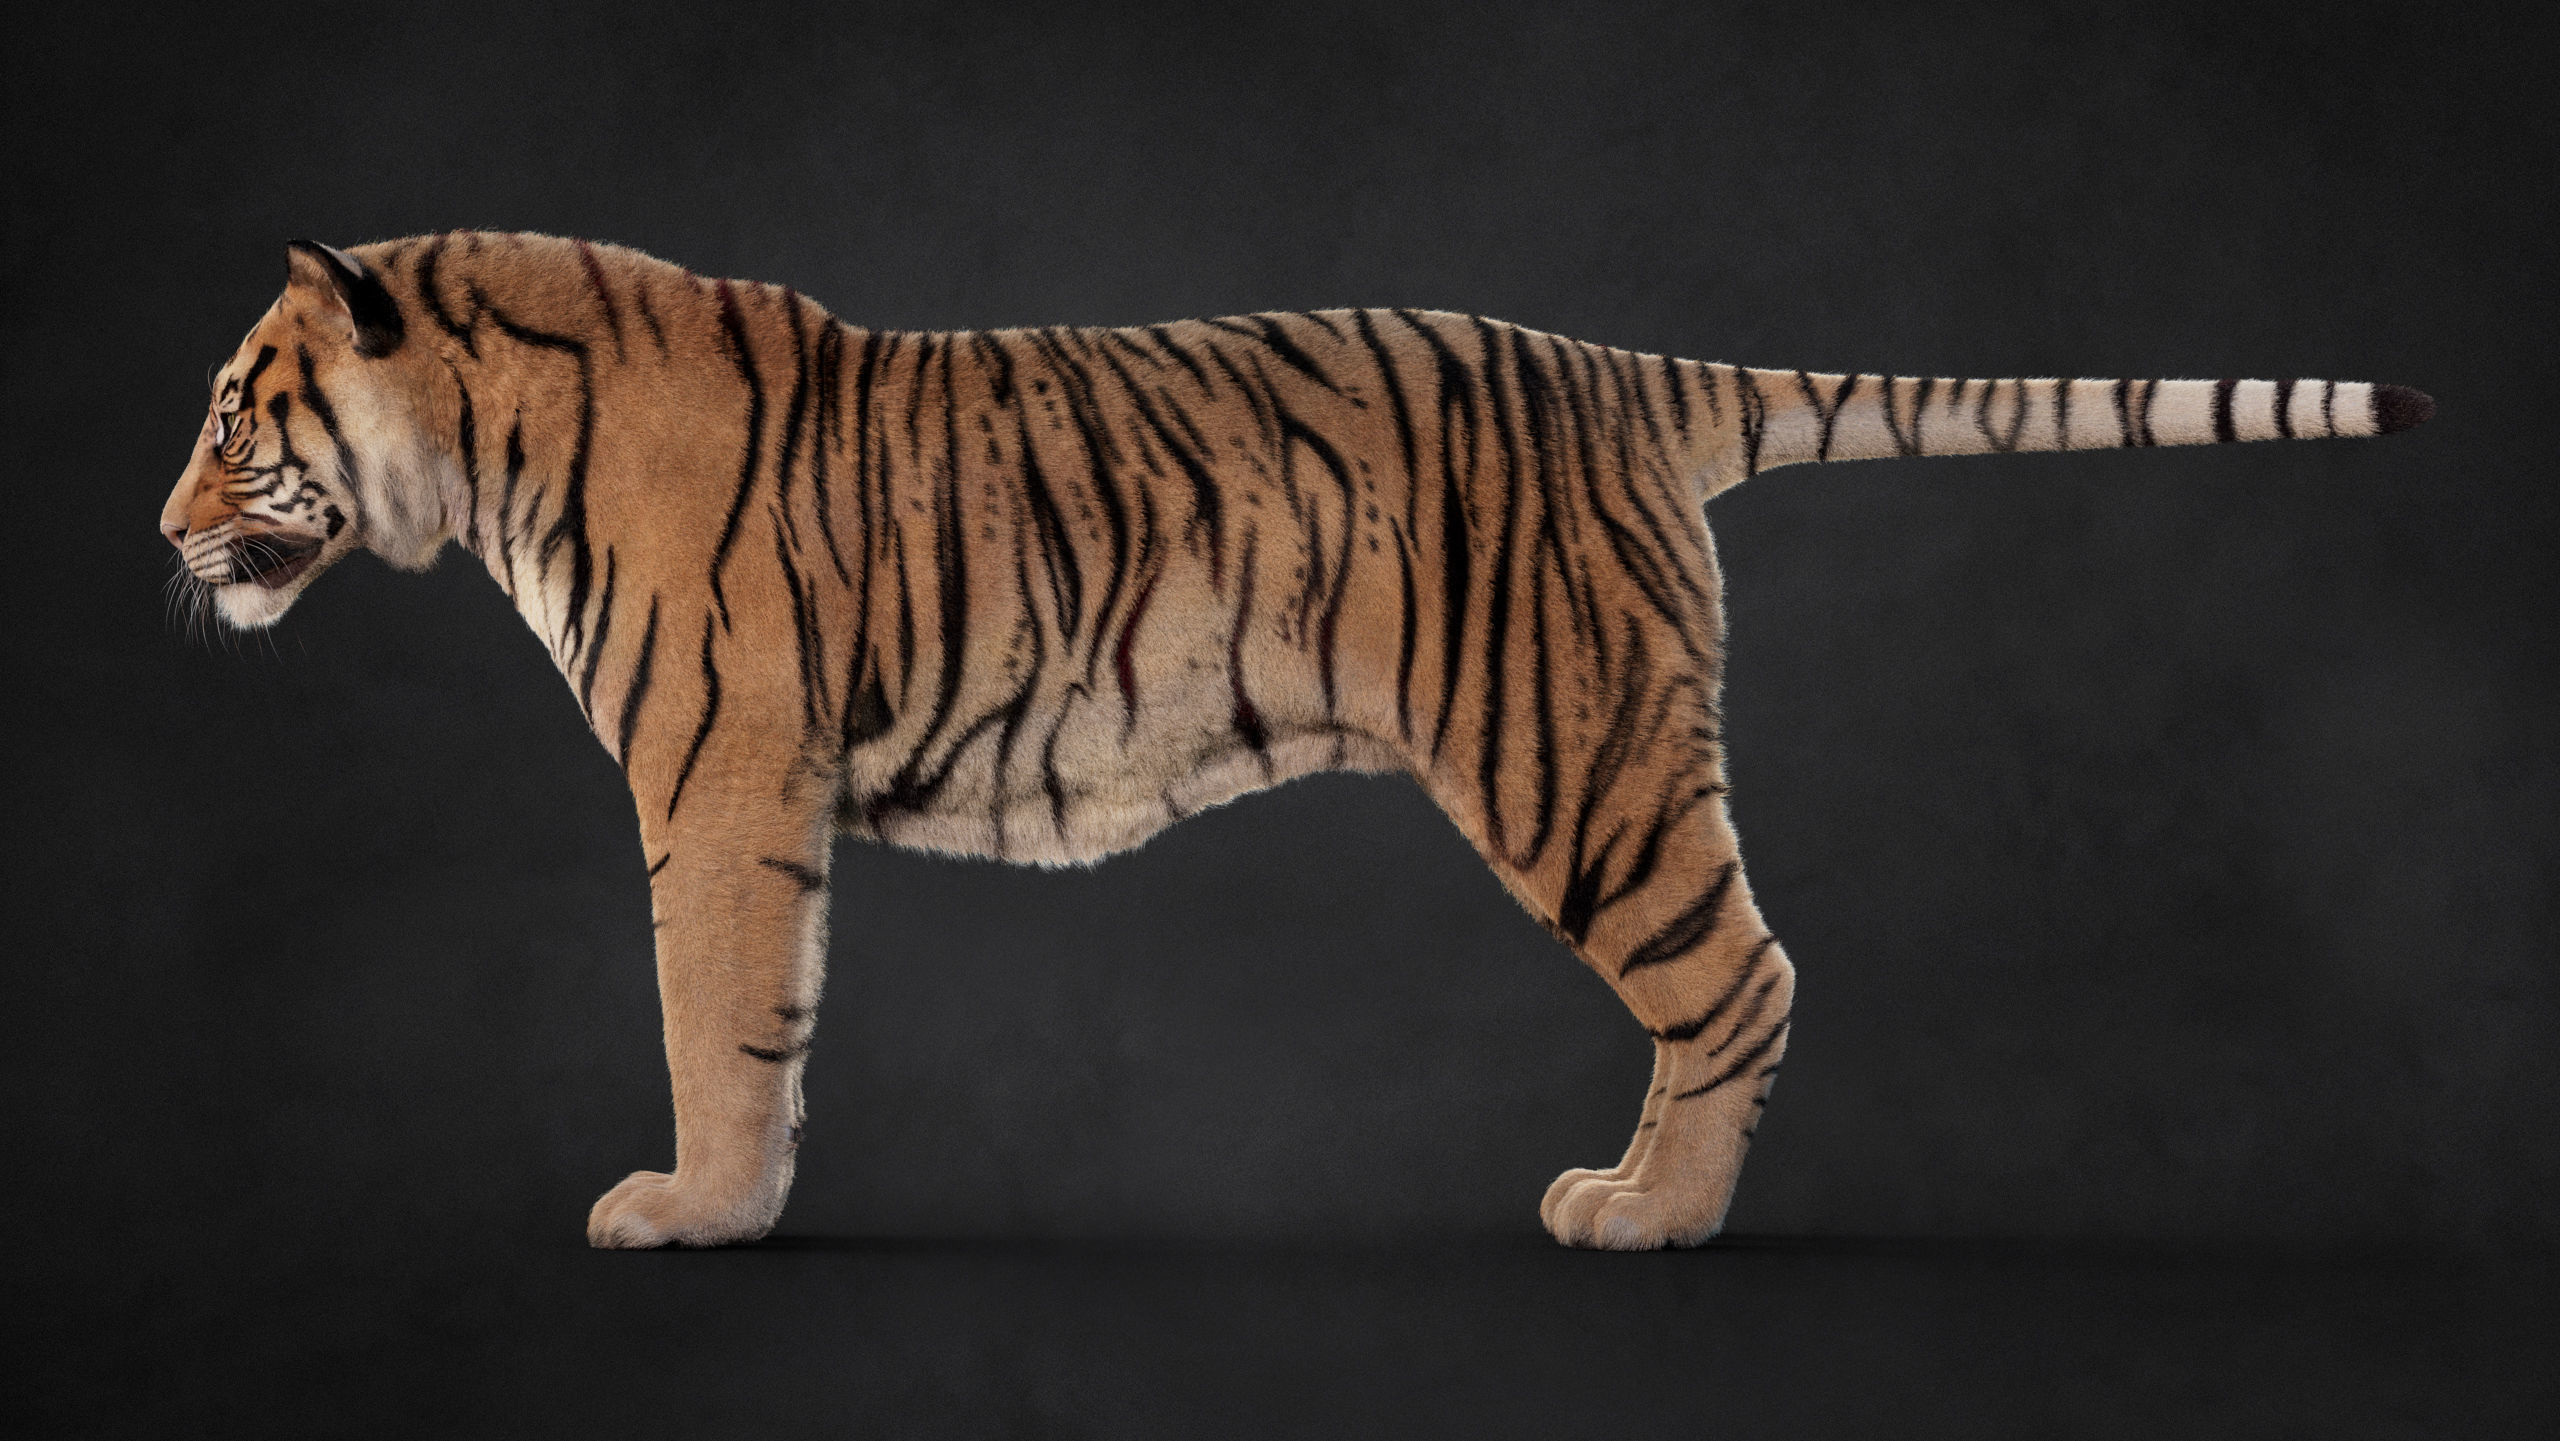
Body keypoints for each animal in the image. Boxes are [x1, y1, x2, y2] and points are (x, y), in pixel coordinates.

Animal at [160, 232, 2433, 1250]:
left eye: (233, 415)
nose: (161, 536)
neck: (482, 453)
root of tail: (1625, 370)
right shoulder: (758, 790)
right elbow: (774, 1018)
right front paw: (742, 1200)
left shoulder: (719, 782)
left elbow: (709, 1008)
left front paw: (687, 1212)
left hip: (1578, 770)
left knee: (1743, 975)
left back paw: (1648, 1215)